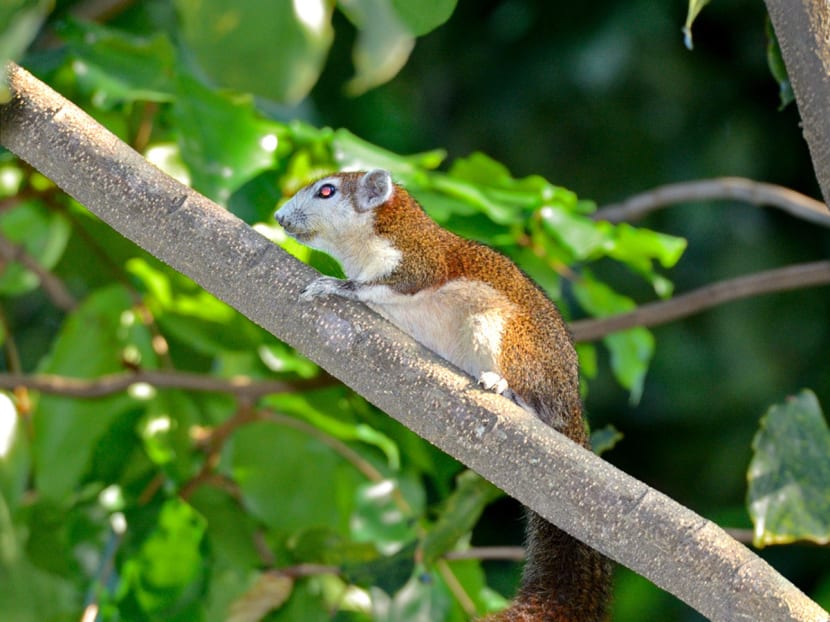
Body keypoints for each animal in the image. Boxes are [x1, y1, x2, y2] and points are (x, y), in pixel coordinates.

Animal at [275, 168, 613, 621]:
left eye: (326, 190)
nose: (279, 217)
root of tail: (572, 405)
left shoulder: (420, 258)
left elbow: (391, 283)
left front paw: (338, 286)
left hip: (508, 336)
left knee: (538, 402)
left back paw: (506, 390)